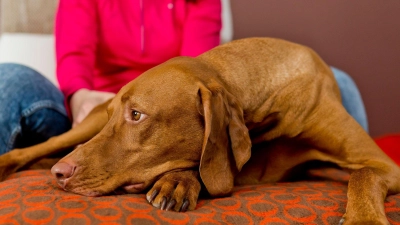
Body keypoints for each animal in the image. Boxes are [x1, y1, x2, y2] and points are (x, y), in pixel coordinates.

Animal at [0, 37, 400, 224]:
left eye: (136, 115)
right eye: (123, 114)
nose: (60, 174)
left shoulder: (380, 164)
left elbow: (362, 173)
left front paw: (364, 218)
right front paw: (178, 181)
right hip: (90, 121)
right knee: (40, 148)